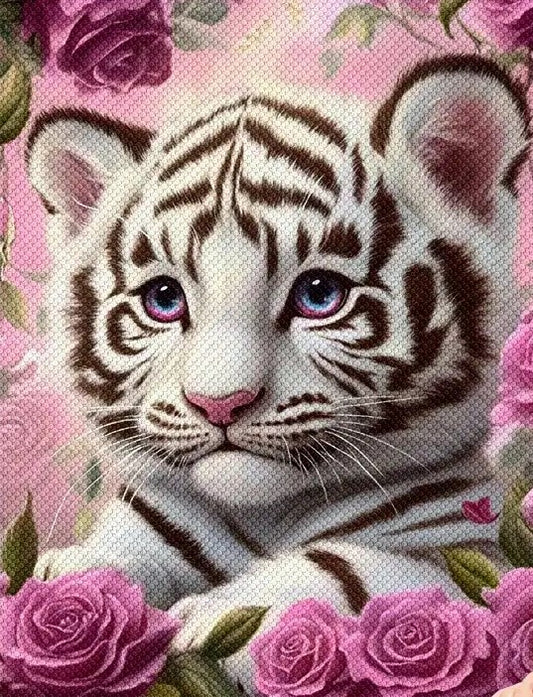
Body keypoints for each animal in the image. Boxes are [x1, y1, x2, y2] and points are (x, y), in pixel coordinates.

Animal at [28, 55, 529, 693]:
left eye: (319, 294)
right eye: (164, 299)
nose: (220, 403)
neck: (266, 514)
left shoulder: (477, 553)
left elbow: (349, 568)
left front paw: (218, 620)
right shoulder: (156, 520)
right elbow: (114, 557)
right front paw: (70, 578)